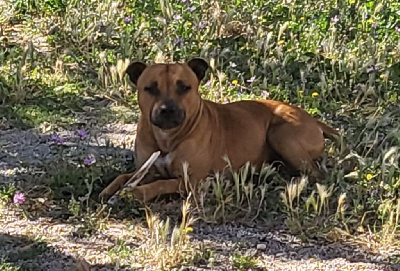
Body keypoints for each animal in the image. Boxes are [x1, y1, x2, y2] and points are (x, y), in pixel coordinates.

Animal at [100, 58, 340, 203]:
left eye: (184, 87)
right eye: (150, 88)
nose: (167, 110)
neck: (168, 138)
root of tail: (313, 119)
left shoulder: (192, 182)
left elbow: (160, 184)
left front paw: (136, 193)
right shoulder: (146, 168)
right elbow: (122, 177)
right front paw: (109, 190)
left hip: (281, 134)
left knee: (316, 174)